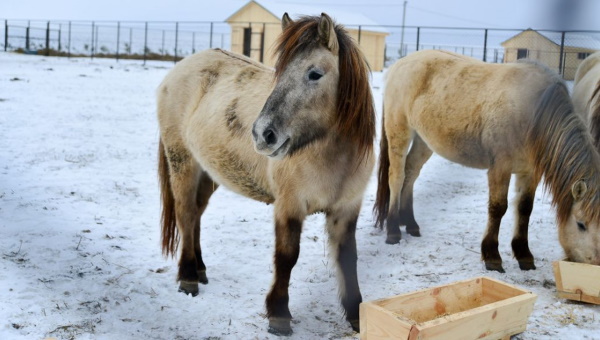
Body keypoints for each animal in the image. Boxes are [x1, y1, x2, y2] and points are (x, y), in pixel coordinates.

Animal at [155, 13, 372, 334]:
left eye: (315, 74)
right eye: (279, 72)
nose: (262, 134)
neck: (331, 156)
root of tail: (177, 70)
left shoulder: (346, 209)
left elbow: (348, 258)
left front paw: (357, 314)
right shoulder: (289, 205)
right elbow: (286, 257)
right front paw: (279, 314)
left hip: (209, 172)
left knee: (195, 215)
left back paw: (200, 269)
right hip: (183, 162)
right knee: (184, 213)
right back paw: (188, 276)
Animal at [376, 50, 600, 272]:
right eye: (581, 224)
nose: (595, 263)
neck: (534, 114)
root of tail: (398, 65)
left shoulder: (529, 172)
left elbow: (524, 208)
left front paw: (524, 254)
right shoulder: (500, 168)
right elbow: (498, 208)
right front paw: (492, 256)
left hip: (424, 140)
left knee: (411, 172)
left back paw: (410, 223)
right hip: (399, 132)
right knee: (397, 177)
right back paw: (393, 230)